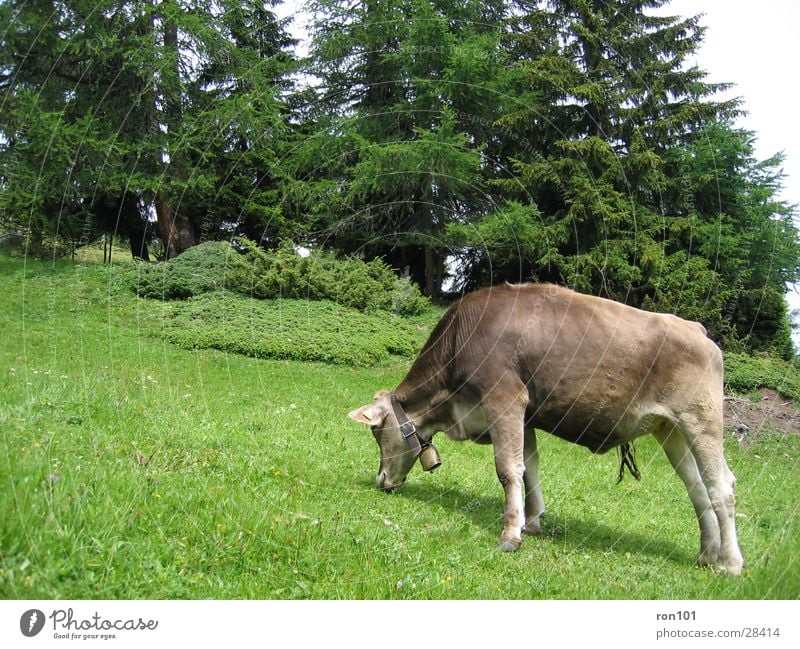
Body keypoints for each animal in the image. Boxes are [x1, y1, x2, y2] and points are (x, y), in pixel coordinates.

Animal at [348, 284, 744, 572]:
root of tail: (695, 328)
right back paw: (706, 554)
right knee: (697, 488)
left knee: (721, 485)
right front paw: (533, 519)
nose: (381, 480)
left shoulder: (504, 399)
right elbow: (530, 467)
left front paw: (510, 534)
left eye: (376, 432)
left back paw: (730, 562)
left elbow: (508, 469)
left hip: (702, 421)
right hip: (670, 429)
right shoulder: (525, 417)